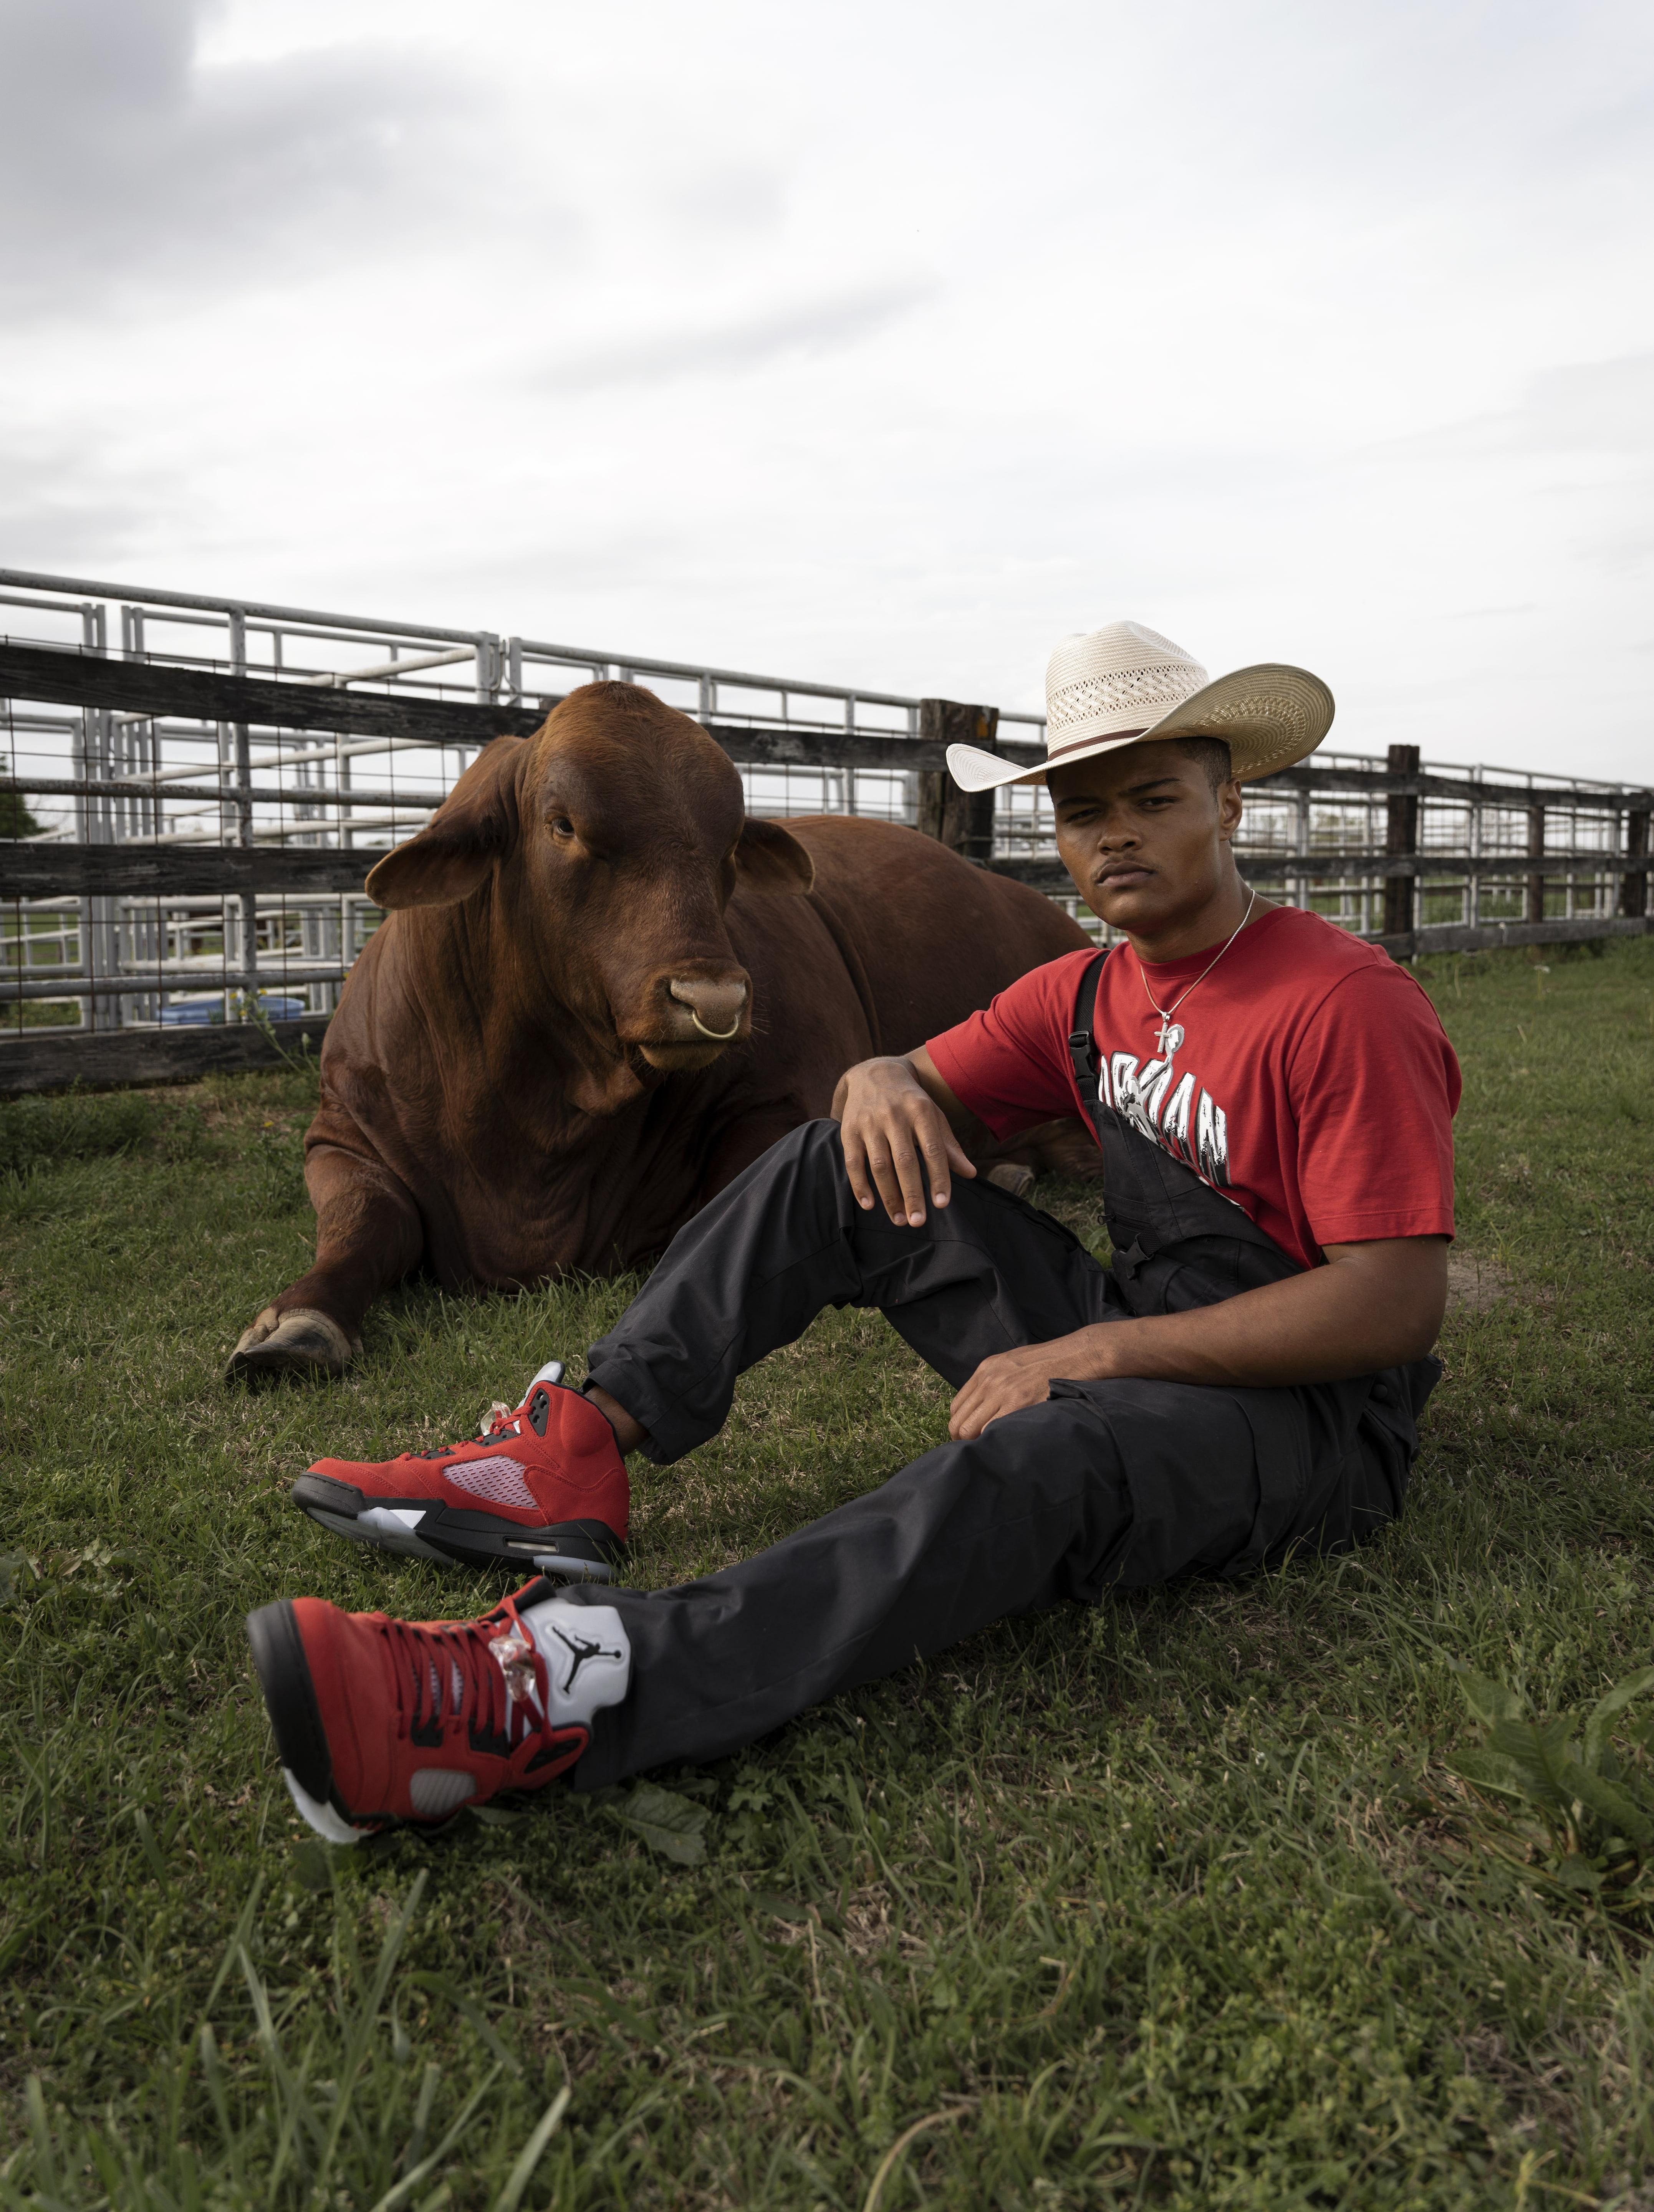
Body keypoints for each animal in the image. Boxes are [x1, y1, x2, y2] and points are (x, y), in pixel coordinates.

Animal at [227, 672, 1092, 1371]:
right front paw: (298, 1319)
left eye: (728, 844)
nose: (713, 1001)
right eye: (562, 825)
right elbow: (367, 1224)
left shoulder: (796, 1102)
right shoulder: (344, 1134)